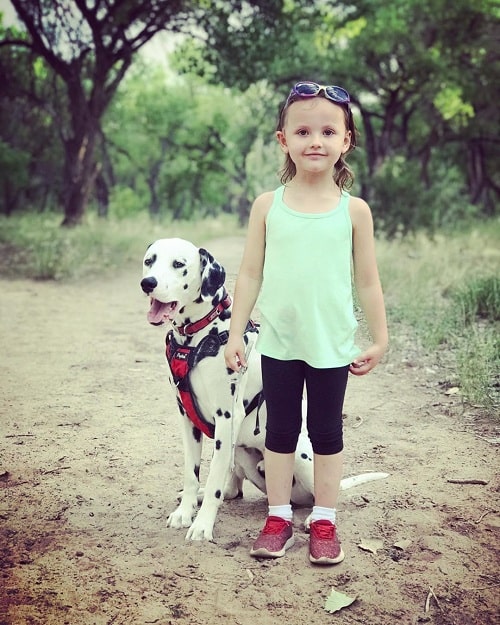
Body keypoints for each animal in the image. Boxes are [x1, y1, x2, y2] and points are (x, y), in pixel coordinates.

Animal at [141, 236, 386, 540]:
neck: (198, 337)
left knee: (322, 493)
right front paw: (185, 511)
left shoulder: (226, 418)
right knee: (233, 489)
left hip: (300, 454)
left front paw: (202, 525)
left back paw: (314, 520)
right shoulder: (186, 418)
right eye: (149, 260)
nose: (148, 282)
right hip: (240, 453)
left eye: (178, 264)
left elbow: (214, 480)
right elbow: (191, 473)